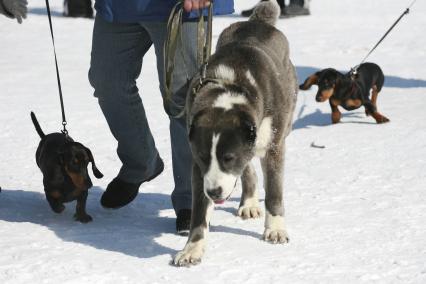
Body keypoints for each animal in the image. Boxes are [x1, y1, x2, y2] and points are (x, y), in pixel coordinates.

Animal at [173, 0, 296, 266]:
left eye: (228, 158)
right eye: (203, 157)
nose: (214, 192)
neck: (231, 85)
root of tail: (258, 22)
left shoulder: (274, 147)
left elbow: (274, 192)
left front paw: (275, 229)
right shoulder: (198, 167)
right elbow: (199, 210)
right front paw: (192, 248)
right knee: (248, 171)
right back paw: (248, 202)